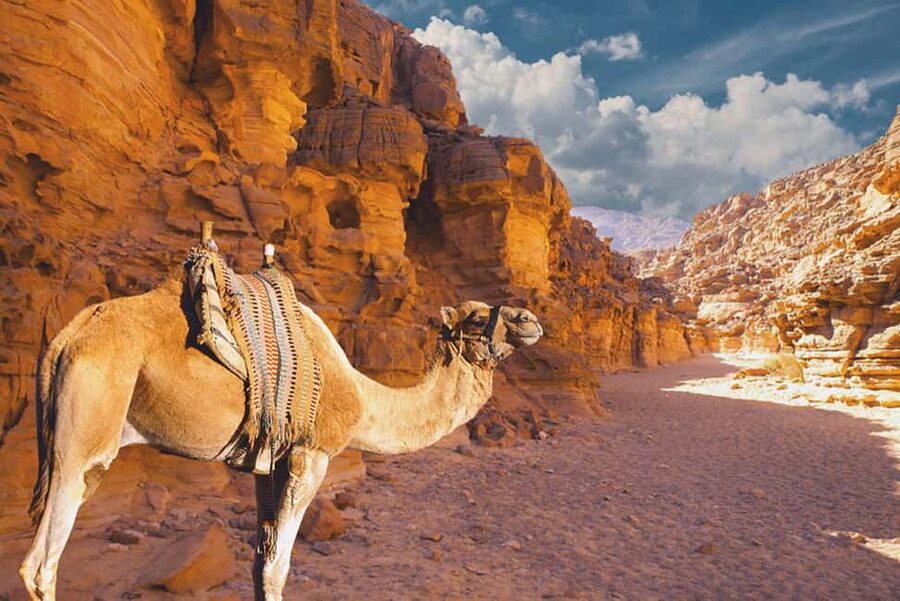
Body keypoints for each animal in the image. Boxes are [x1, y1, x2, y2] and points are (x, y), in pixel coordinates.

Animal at [18, 270, 544, 600]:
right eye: (477, 318)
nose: (528, 319)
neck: (361, 398)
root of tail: (64, 339)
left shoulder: (266, 464)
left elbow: (258, 563)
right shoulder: (312, 455)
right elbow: (278, 567)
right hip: (86, 433)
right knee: (40, 565)